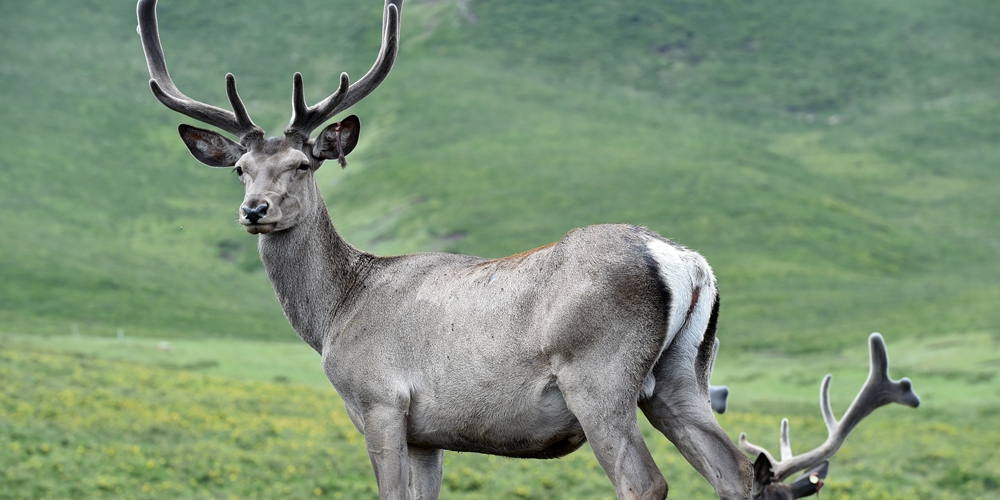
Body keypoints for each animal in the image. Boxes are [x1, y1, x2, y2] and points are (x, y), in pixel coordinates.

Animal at [137, 1, 916, 498]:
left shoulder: (380, 402)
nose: (255, 210)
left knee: (647, 483)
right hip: (683, 375)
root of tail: (685, 263)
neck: (335, 312)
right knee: (735, 474)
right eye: (241, 168)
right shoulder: (429, 430)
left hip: (598, 375)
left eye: (303, 164)